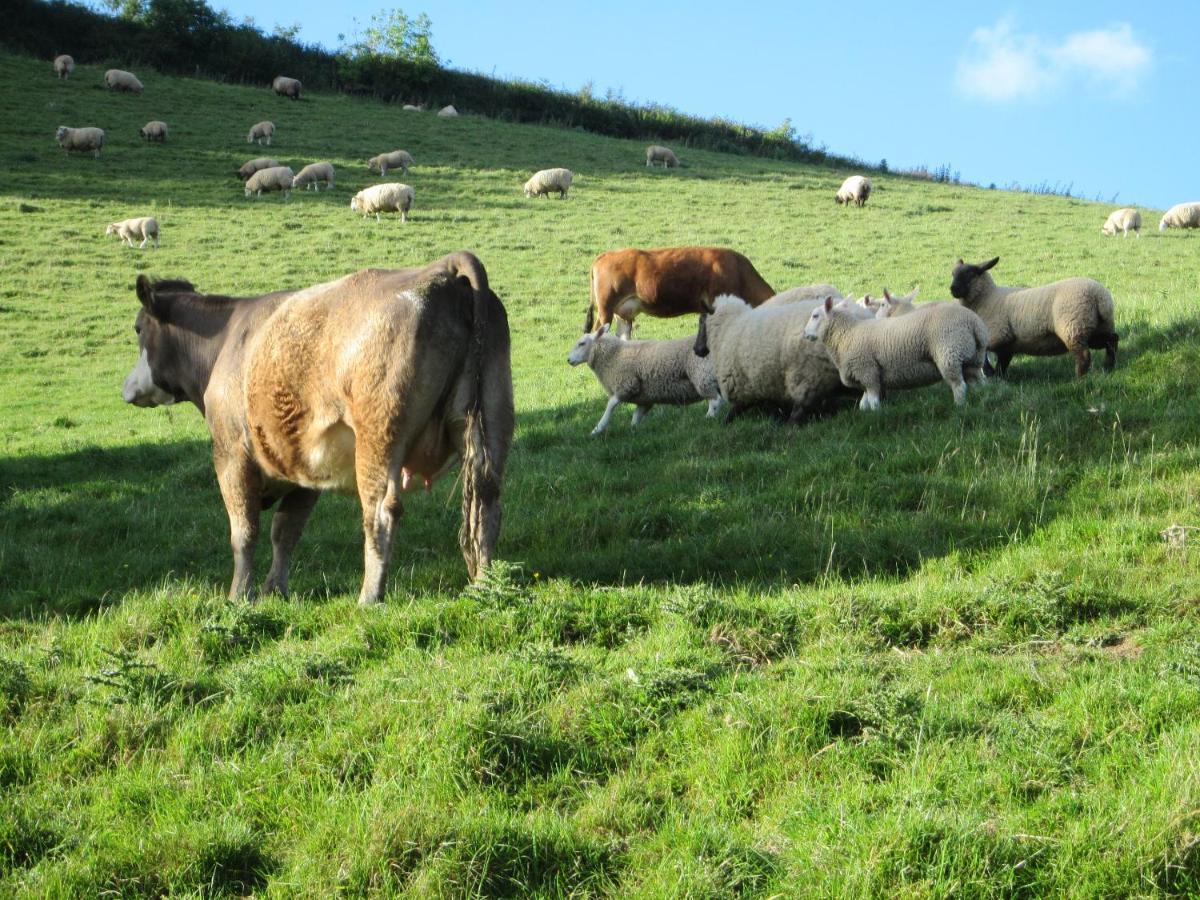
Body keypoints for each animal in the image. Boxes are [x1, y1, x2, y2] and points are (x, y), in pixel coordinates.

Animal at [124, 254, 513, 607]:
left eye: (139, 329)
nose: (127, 387)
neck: (226, 341)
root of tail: (443, 269)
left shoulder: (230, 453)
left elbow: (244, 531)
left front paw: (239, 597)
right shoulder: (303, 466)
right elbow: (285, 532)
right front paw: (274, 591)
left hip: (379, 437)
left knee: (381, 513)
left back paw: (369, 597)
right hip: (492, 420)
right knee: (488, 507)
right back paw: (485, 586)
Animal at [564, 326, 720, 434]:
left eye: (582, 343)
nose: (569, 360)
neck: (615, 355)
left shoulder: (626, 384)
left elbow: (610, 405)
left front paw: (597, 429)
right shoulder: (644, 399)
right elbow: (636, 416)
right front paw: (633, 430)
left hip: (702, 376)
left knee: (715, 401)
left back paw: (709, 418)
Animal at [806, 296, 984, 408]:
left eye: (815, 316)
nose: (805, 333)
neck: (846, 334)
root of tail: (974, 323)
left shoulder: (868, 371)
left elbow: (873, 402)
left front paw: (877, 416)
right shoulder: (865, 378)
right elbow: (864, 404)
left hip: (949, 354)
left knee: (959, 386)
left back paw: (959, 408)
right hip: (973, 359)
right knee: (978, 383)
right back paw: (980, 400)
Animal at [950, 256, 1118, 376]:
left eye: (970, 274)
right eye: (953, 274)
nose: (953, 289)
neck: (987, 297)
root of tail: (1100, 296)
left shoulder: (999, 334)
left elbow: (984, 353)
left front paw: (989, 372)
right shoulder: (1008, 344)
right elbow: (1002, 363)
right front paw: (998, 377)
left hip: (1073, 327)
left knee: (1083, 355)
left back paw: (1079, 378)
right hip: (1095, 327)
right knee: (1112, 340)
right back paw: (1108, 366)